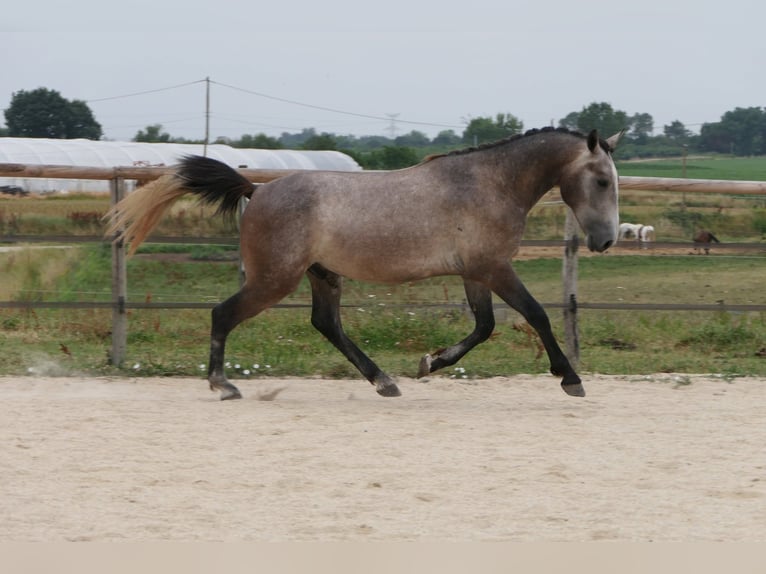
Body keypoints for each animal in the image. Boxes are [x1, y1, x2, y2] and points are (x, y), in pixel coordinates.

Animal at [106, 127, 624, 400]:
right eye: (601, 180)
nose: (605, 240)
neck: (487, 183)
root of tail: (258, 190)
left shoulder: (475, 271)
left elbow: (484, 327)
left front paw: (429, 363)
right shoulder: (494, 267)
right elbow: (535, 315)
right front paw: (570, 379)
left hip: (321, 275)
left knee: (326, 324)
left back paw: (384, 381)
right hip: (275, 278)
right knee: (223, 313)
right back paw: (222, 384)